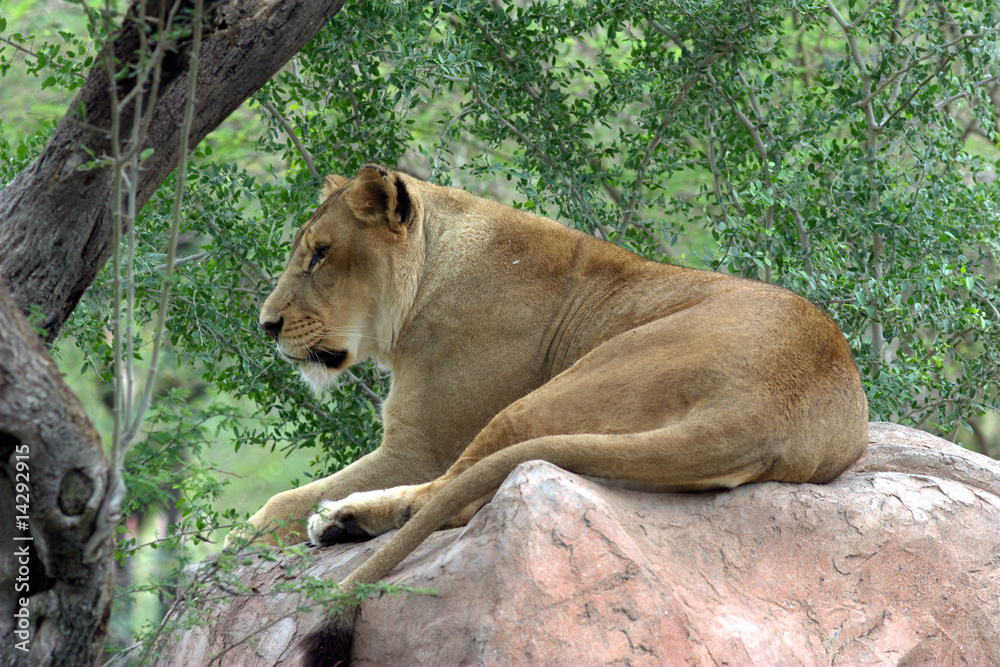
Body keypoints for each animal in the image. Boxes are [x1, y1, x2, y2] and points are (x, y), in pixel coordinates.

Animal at [234, 164, 868, 666]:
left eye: (320, 253)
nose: (266, 325)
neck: (434, 267)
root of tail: (762, 411)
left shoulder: (420, 446)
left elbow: (280, 504)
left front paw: (248, 536)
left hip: (552, 393)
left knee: (447, 496)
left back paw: (339, 519)